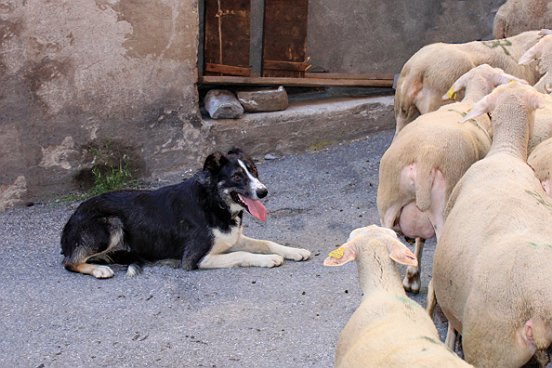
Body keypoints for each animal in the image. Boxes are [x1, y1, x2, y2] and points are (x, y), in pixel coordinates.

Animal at [61, 148, 310, 278]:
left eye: (254, 171)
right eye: (237, 177)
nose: (263, 192)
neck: (213, 202)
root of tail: (70, 221)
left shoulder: (232, 238)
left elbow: (265, 243)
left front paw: (294, 251)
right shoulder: (195, 259)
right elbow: (242, 255)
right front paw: (269, 259)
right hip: (111, 224)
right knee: (70, 262)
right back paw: (98, 269)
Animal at [378, 63, 524, 294]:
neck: (471, 101)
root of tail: (426, 154)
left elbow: (419, 240)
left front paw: (412, 277)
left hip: (387, 207)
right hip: (444, 211)